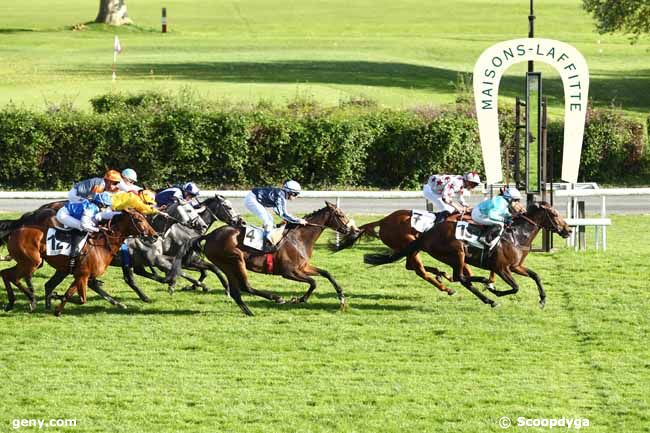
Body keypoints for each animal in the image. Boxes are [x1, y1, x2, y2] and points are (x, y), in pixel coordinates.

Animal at [0, 208, 157, 316]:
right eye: (138, 219)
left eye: (145, 218)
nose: (155, 235)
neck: (102, 244)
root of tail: (13, 231)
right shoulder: (83, 275)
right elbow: (82, 299)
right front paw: (56, 297)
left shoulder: (80, 275)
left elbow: (72, 294)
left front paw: (57, 308)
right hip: (31, 262)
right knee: (12, 276)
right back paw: (31, 299)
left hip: (29, 263)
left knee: (5, 273)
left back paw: (14, 302)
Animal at [182, 201, 354, 316]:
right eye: (340, 215)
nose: (350, 229)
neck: (298, 238)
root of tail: (210, 235)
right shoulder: (289, 272)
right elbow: (313, 282)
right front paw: (299, 299)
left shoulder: (303, 267)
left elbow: (326, 273)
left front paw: (341, 297)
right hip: (235, 260)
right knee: (245, 286)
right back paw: (276, 298)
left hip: (227, 265)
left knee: (237, 291)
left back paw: (249, 311)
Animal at [362, 202, 568, 308]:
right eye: (555, 215)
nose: (568, 230)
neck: (516, 236)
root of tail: (384, 220)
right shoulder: (502, 268)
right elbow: (515, 287)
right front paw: (495, 289)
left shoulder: (516, 266)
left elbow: (536, 275)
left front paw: (542, 299)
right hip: (456, 251)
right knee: (457, 277)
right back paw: (480, 291)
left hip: (435, 253)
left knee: (456, 276)